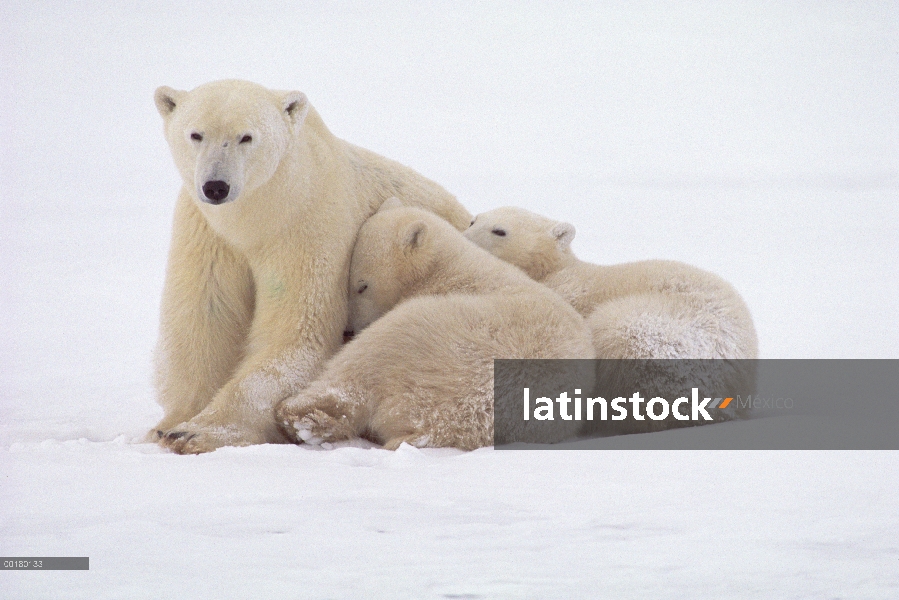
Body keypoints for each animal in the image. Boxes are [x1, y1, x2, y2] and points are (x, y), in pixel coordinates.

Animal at [149, 81, 472, 454]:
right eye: (196, 134)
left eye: (246, 137)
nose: (216, 186)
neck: (254, 220)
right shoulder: (207, 234)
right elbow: (205, 320)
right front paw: (169, 424)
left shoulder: (307, 225)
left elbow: (299, 336)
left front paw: (196, 432)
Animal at [276, 202, 596, 450]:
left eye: (361, 285)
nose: (348, 330)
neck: (448, 268)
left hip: (429, 334)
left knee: (363, 365)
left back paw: (295, 416)